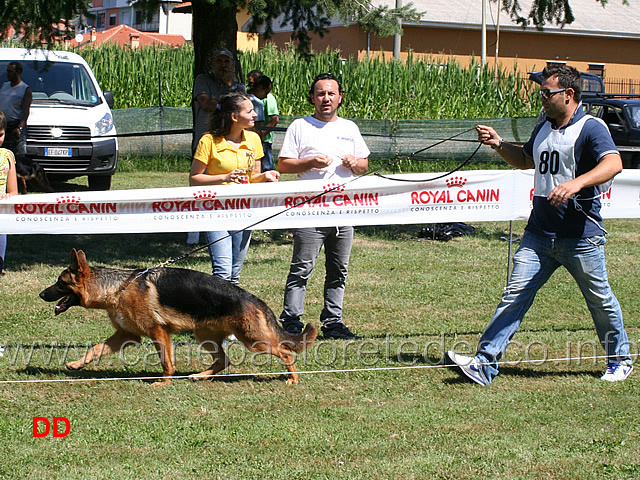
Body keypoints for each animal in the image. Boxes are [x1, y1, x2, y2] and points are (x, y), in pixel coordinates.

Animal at [38, 249, 316, 384]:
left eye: (60, 284)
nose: (41, 294)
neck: (118, 288)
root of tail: (253, 298)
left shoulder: (158, 333)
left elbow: (166, 362)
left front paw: (164, 383)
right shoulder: (125, 335)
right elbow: (95, 349)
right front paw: (77, 365)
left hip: (253, 340)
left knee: (285, 352)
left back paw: (293, 379)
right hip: (205, 336)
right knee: (223, 361)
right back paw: (199, 377)